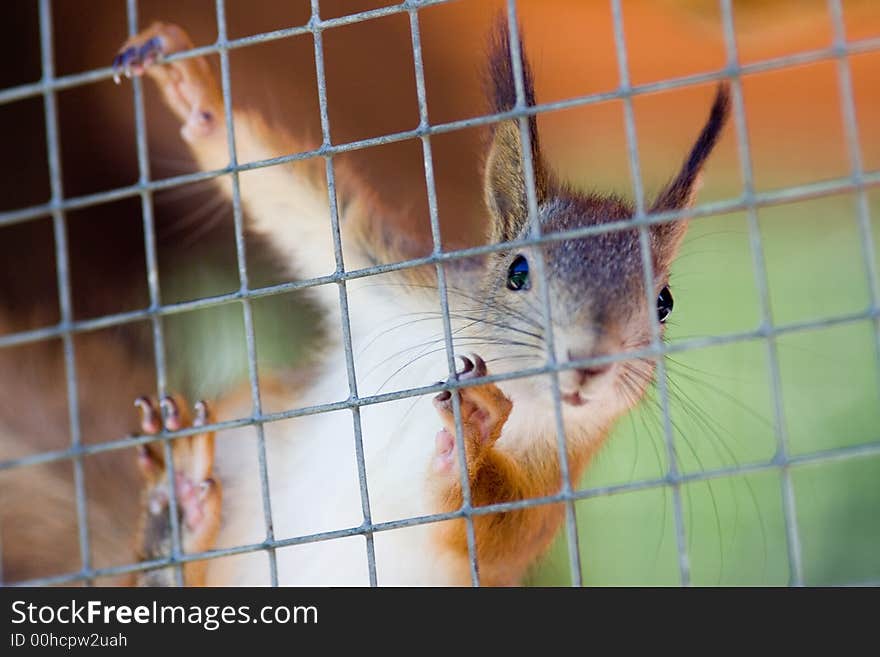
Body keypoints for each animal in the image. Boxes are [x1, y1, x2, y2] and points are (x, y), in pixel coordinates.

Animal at [111, 19, 728, 584]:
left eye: (664, 302)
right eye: (517, 272)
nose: (588, 362)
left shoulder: (552, 483)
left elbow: (498, 532)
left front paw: (471, 438)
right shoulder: (400, 287)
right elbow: (311, 212)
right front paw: (195, 94)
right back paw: (178, 509)